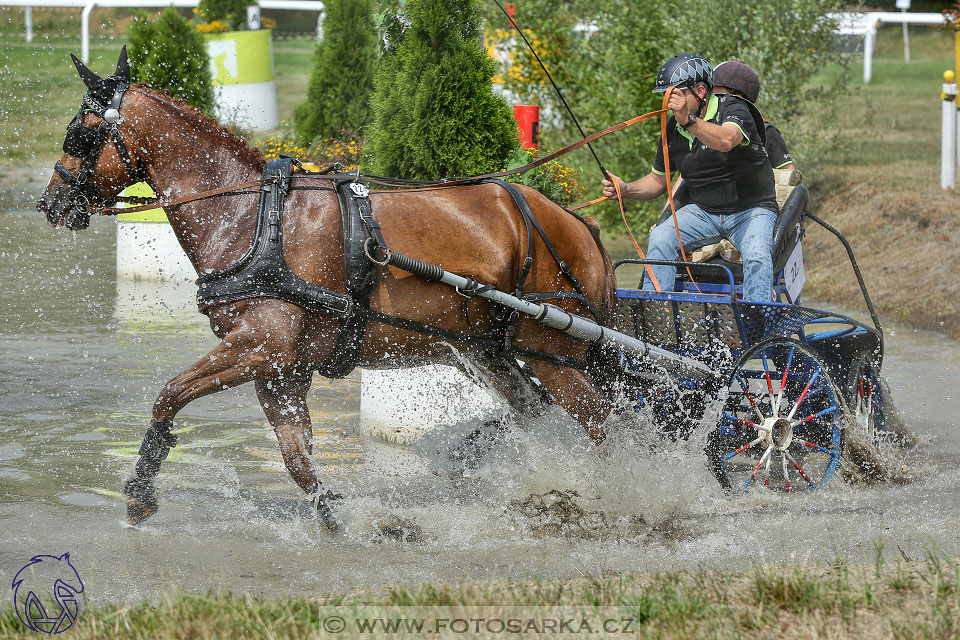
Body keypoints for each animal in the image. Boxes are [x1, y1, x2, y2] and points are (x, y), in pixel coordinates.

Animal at [37, 50, 620, 528]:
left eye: (78, 134)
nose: (49, 202)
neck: (253, 216)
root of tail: (576, 223)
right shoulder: (281, 367)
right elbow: (297, 458)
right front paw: (337, 516)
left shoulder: (260, 344)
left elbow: (170, 395)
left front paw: (139, 493)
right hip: (489, 350)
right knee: (536, 413)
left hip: (551, 349)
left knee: (602, 428)